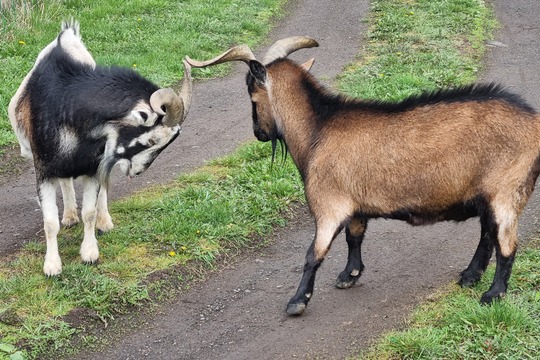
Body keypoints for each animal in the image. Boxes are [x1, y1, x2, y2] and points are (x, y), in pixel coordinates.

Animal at [7, 21, 192, 274]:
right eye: (153, 141)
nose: (137, 172)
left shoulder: (93, 167)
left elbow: (90, 212)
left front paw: (90, 253)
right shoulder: (44, 170)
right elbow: (50, 222)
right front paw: (52, 265)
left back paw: (104, 222)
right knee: (66, 182)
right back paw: (69, 215)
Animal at [186, 37, 540, 316]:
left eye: (252, 93)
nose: (259, 133)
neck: (319, 129)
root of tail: (534, 122)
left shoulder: (328, 204)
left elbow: (313, 254)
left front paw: (298, 301)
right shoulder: (354, 204)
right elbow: (354, 236)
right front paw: (350, 275)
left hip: (507, 190)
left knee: (507, 243)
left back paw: (492, 295)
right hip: (486, 194)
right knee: (487, 234)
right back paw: (469, 276)